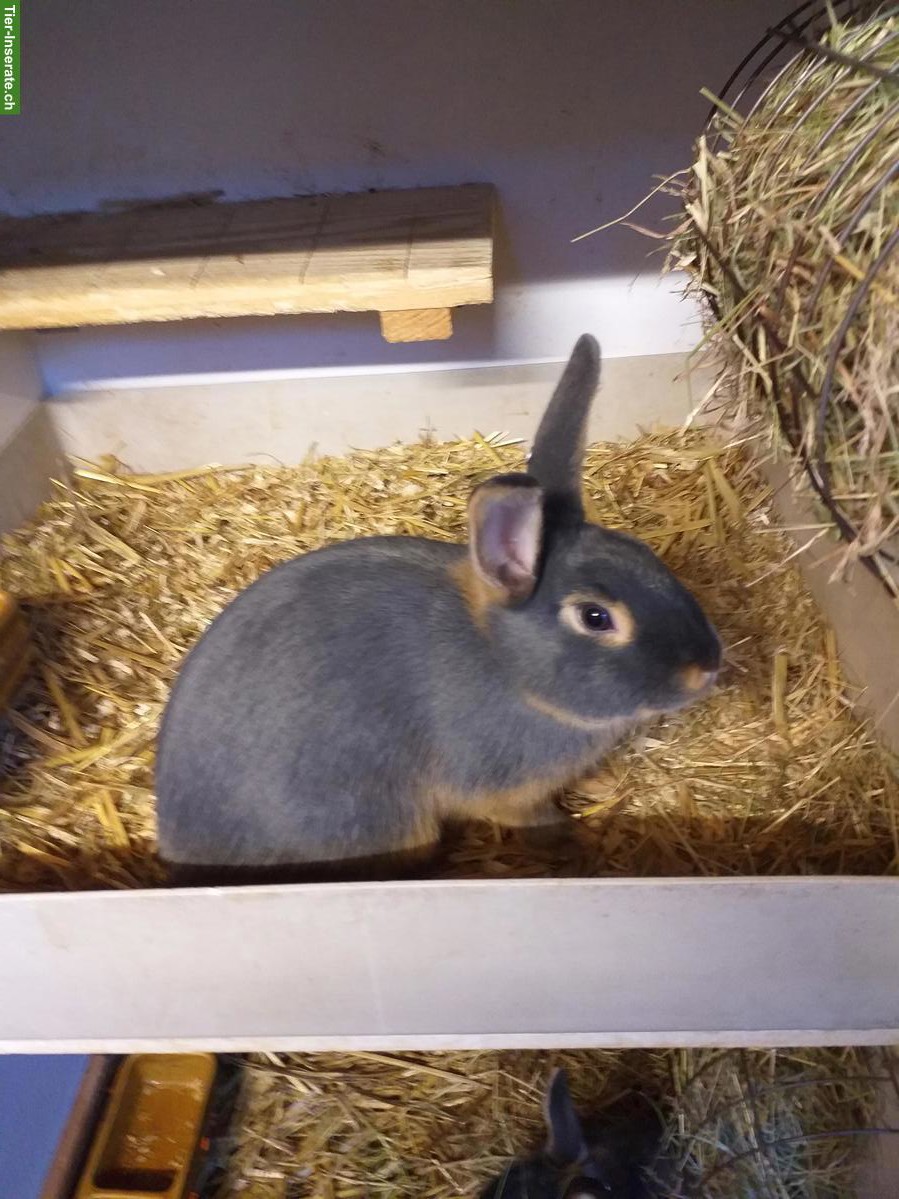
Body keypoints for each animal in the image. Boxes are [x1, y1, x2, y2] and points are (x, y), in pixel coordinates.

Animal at [155, 334, 721, 877]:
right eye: (596, 617)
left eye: (644, 553)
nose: (708, 668)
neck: (508, 668)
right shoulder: (499, 784)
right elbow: (525, 814)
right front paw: (568, 836)